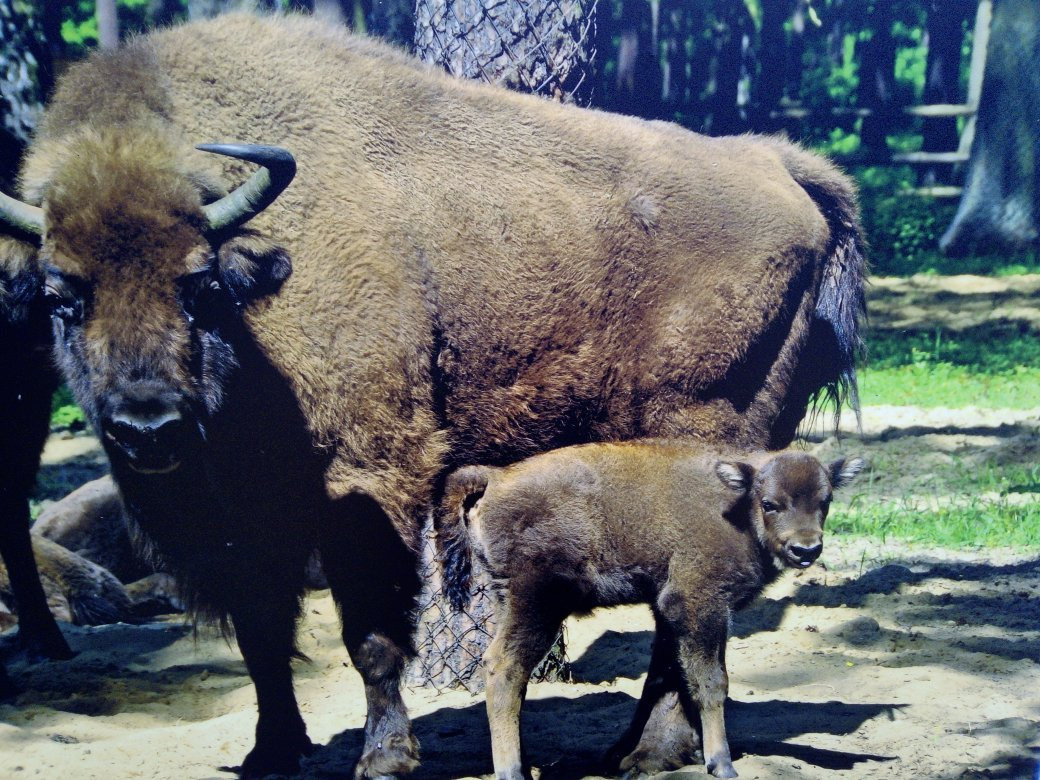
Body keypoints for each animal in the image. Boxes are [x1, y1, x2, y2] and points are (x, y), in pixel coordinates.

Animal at [438, 443, 861, 777]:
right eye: (770, 504)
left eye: (825, 501)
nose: (806, 549)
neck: (739, 507)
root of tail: (495, 478)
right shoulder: (699, 601)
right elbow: (712, 681)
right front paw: (721, 762)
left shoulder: (674, 612)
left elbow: (663, 678)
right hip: (536, 604)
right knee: (504, 669)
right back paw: (512, 771)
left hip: (508, 601)